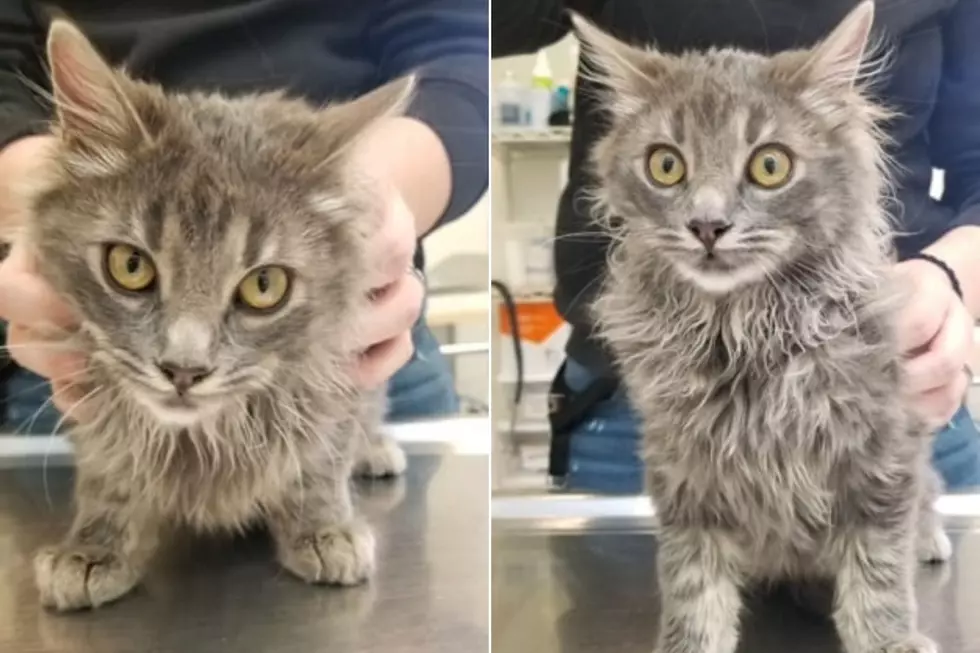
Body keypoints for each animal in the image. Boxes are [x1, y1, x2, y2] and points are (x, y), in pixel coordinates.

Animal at [20, 20, 410, 612]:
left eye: (264, 286)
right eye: (130, 266)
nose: (184, 369)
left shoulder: (339, 374)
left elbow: (319, 459)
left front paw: (324, 529)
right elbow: (110, 474)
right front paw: (94, 548)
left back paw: (376, 450)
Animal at [580, 5, 948, 652]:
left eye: (770, 165)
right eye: (665, 165)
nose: (707, 225)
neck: (743, 333)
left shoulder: (881, 454)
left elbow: (878, 573)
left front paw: (889, 640)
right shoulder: (685, 475)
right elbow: (694, 587)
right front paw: (690, 642)